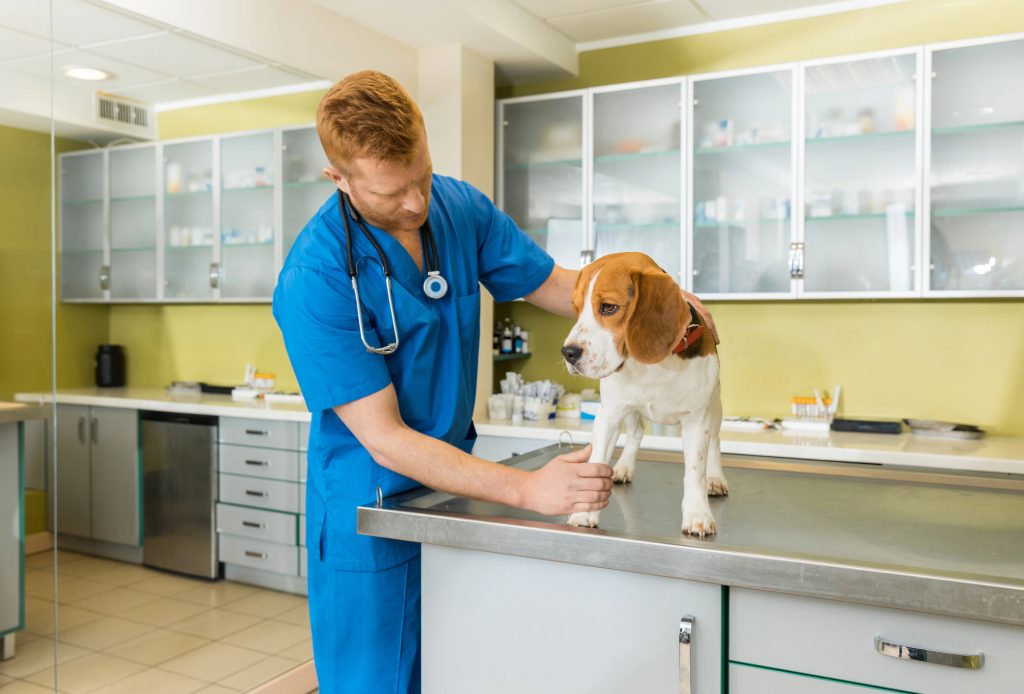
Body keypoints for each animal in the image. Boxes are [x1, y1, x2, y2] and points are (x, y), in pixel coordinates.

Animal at [561, 252, 729, 536]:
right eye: (575, 307)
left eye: (608, 307)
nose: (568, 353)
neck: (654, 365)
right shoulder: (609, 415)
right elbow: (596, 461)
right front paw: (584, 513)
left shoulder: (696, 421)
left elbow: (695, 470)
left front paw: (697, 513)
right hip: (628, 409)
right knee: (637, 432)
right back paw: (624, 467)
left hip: (714, 407)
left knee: (715, 442)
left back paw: (716, 478)